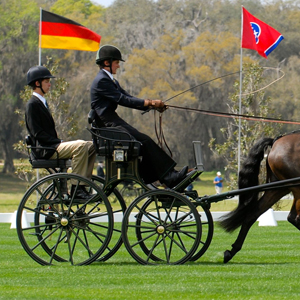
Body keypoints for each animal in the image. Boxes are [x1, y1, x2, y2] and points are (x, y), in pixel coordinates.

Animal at [219, 132, 300, 264]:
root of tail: (276, 141)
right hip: (296, 187)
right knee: (294, 217)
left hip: (278, 189)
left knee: (253, 214)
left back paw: (232, 251)